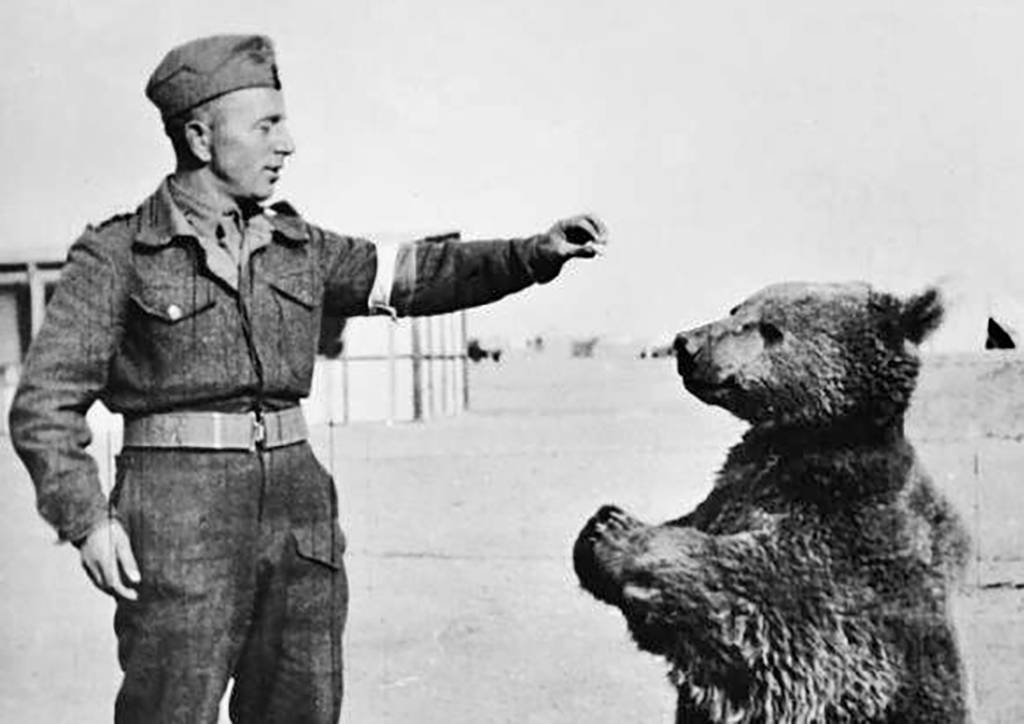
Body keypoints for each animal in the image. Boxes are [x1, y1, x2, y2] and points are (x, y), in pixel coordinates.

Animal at [573, 282, 971, 723]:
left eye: (770, 328)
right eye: (736, 308)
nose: (686, 344)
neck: (809, 439)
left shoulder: (848, 530)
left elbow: (758, 598)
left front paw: (615, 532)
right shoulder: (733, 487)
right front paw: (599, 527)